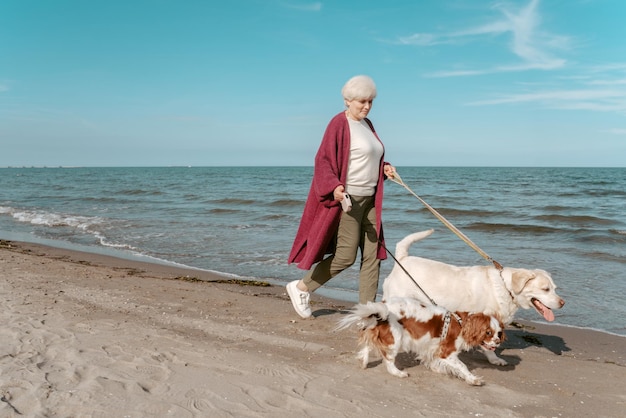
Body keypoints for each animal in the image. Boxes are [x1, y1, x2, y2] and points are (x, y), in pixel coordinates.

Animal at [336, 298, 502, 386]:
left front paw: (438, 369)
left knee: (368, 346)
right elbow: (462, 366)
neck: (461, 324)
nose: (498, 342)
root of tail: (382, 310)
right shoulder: (447, 353)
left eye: (499, 333)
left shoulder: (433, 348)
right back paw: (398, 373)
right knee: (388, 360)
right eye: (488, 332)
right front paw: (473, 379)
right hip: (395, 339)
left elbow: (436, 361)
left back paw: (363, 362)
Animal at [378, 230, 564, 364]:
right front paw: (494, 358)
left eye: (555, 288)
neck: (506, 287)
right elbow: (489, 345)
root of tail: (402, 258)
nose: (562, 303)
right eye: (546, 289)